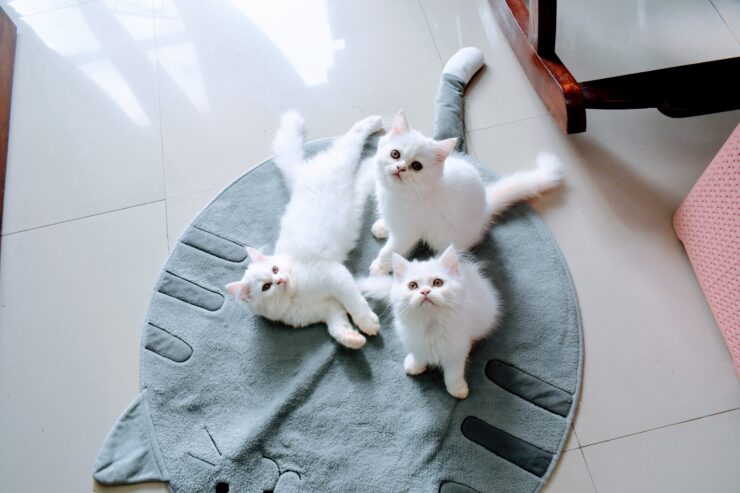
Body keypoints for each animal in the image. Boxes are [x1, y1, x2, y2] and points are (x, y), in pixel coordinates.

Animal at [225, 112, 382, 350]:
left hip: (342, 162)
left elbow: (355, 302)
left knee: (354, 135)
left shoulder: (336, 276)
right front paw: (353, 339)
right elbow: (338, 327)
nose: (281, 280)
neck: (296, 295)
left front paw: (367, 323)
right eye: (267, 287)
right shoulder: (328, 308)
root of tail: (302, 175)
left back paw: (377, 124)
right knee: (367, 166)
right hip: (357, 189)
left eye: (275, 269)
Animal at [360, 244, 500, 398]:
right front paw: (415, 367)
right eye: (413, 286)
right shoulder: (415, 342)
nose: (425, 292)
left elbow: (454, 374)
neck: (430, 323)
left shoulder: (456, 350)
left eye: (437, 283)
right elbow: (419, 357)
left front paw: (457, 390)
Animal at [368, 109, 564, 274]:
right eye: (395, 154)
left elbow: (390, 250)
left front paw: (379, 267)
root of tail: (485, 208)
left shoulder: (407, 232)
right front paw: (382, 226)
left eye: (416, 166)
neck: (398, 194)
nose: (400, 168)